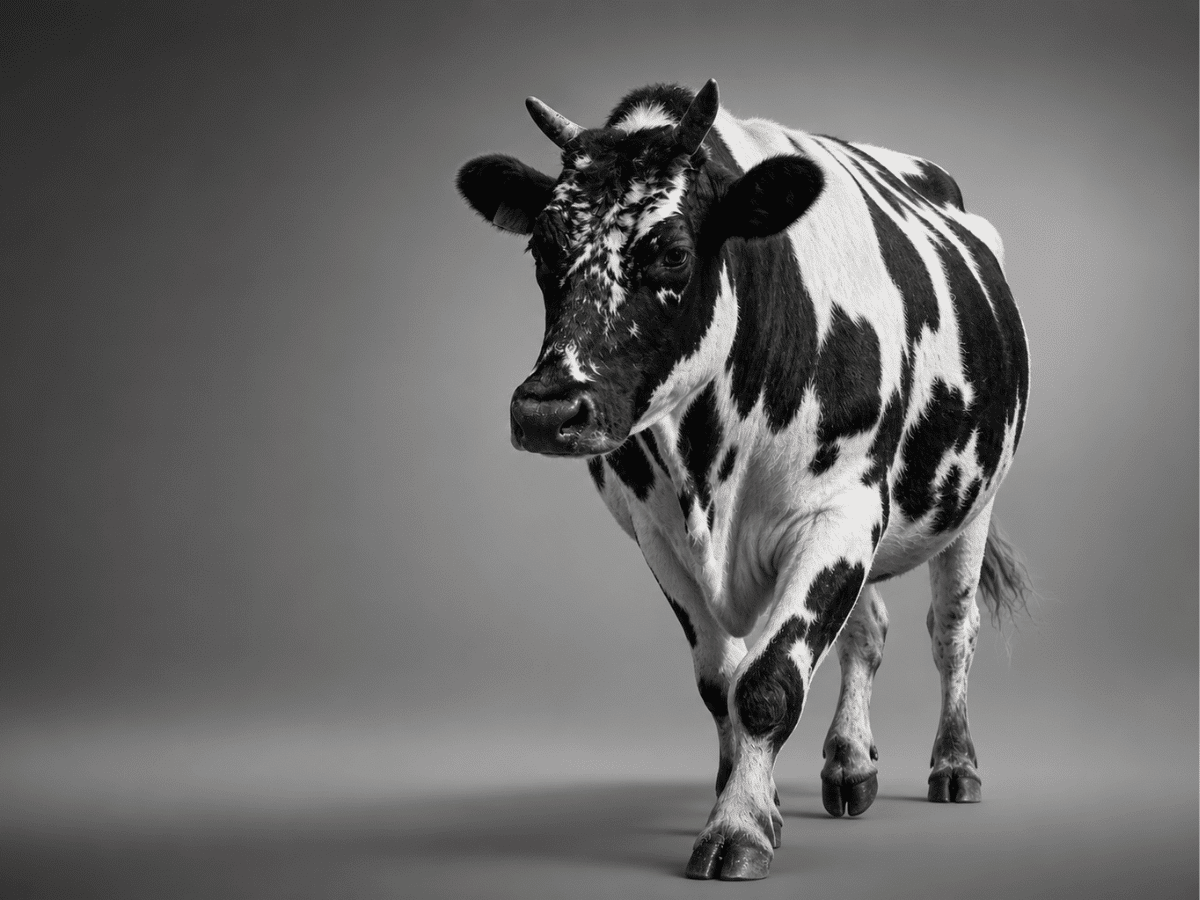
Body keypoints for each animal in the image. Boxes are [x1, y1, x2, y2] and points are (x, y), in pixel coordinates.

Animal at [456, 79, 1031, 881]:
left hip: (973, 502)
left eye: (673, 252)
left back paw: (954, 766)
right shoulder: (659, 534)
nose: (546, 408)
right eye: (543, 249)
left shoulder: (840, 512)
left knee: (951, 631)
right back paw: (850, 764)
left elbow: (767, 684)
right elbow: (720, 685)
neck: (708, 469)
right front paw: (749, 799)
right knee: (869, 631)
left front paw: (737, 830)